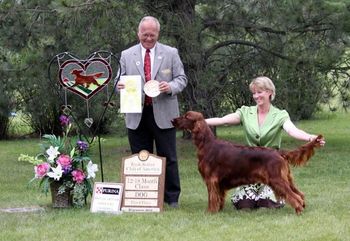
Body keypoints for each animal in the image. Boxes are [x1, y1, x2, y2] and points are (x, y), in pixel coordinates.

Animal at [172, 111, 322, 215]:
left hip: (277, 179)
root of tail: (279, 153)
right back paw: (302, 207)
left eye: (187, 116)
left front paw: (210, 212)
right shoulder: (218, 183)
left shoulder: (211, 179)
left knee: (294, 196)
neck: (206, 144)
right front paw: (218, 210)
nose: (172, 120)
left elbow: (212, 198)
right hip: (286, 178)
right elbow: (219, 198)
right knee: (300, 194)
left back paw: (298, 210)